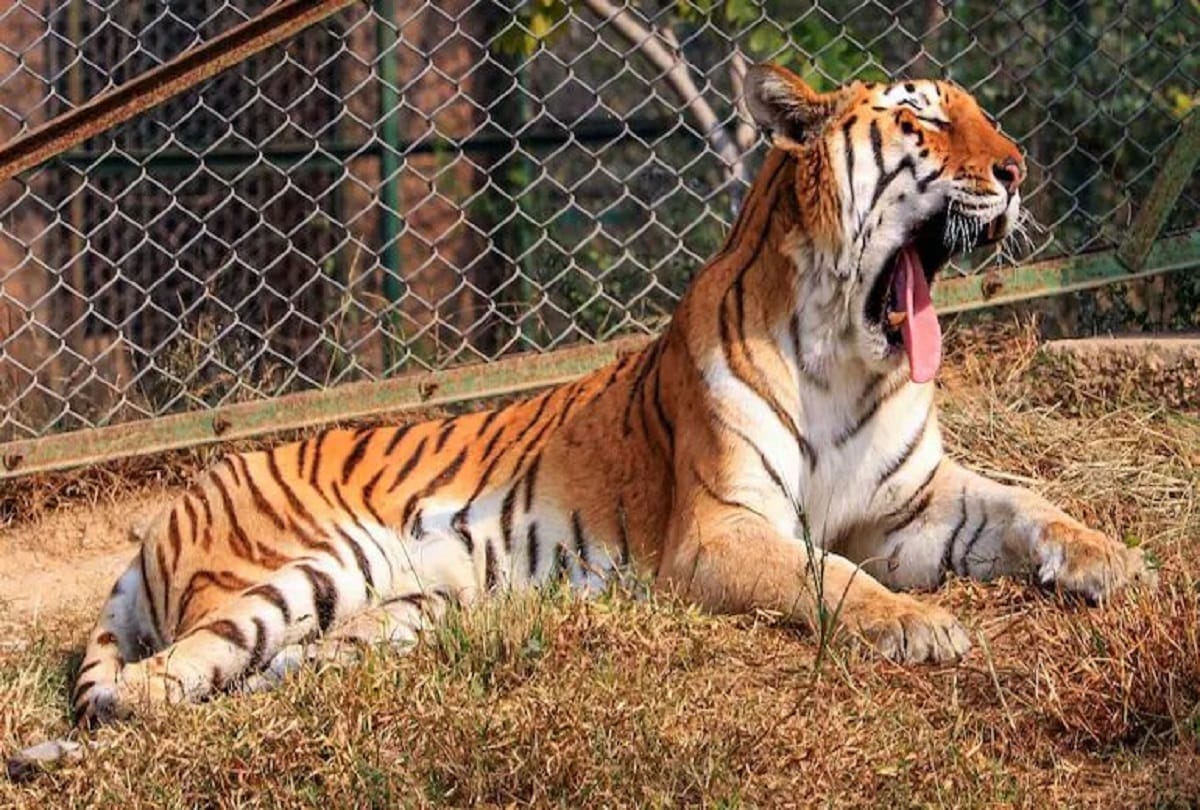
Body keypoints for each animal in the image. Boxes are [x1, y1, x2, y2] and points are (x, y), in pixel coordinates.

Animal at [9, 62, 1152, 777]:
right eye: (924, 121)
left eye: (981, 118)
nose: (1017, 171)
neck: (847, 349)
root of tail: (162, 514)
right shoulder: (720, 530)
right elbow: (828, 576)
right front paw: (918, 626)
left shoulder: (917, 505)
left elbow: (1028, 504)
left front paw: (1119, 561)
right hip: (288, 573)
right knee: (144, 688)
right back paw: (51, 750)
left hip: (402, 610)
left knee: (269, 675)